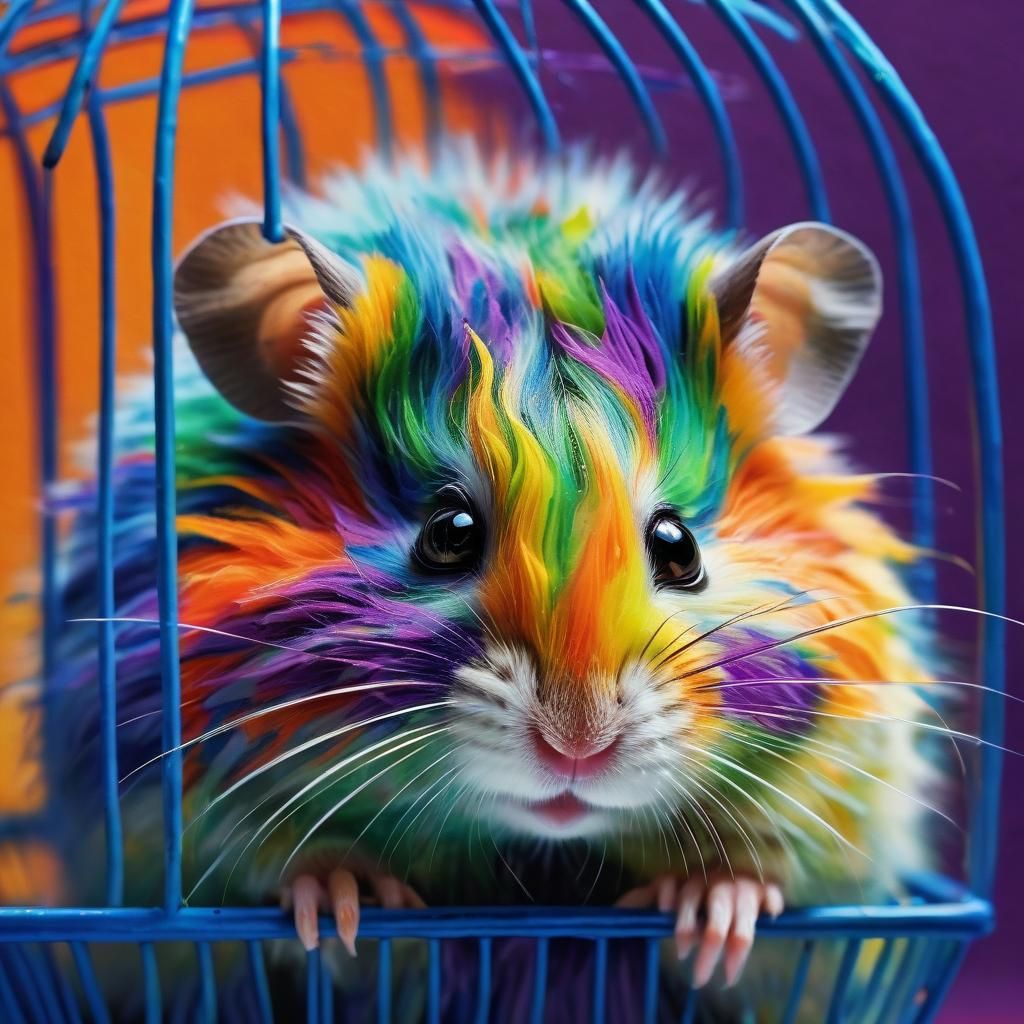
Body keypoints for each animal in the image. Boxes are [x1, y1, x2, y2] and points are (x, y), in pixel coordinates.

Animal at [52, 145, 943, 1018]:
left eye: (678, 546)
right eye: (448, 535)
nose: (577, 748)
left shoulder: (847, 811)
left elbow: (771, 880)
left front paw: (712, 908)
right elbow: (273, 861)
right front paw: (345, 899)